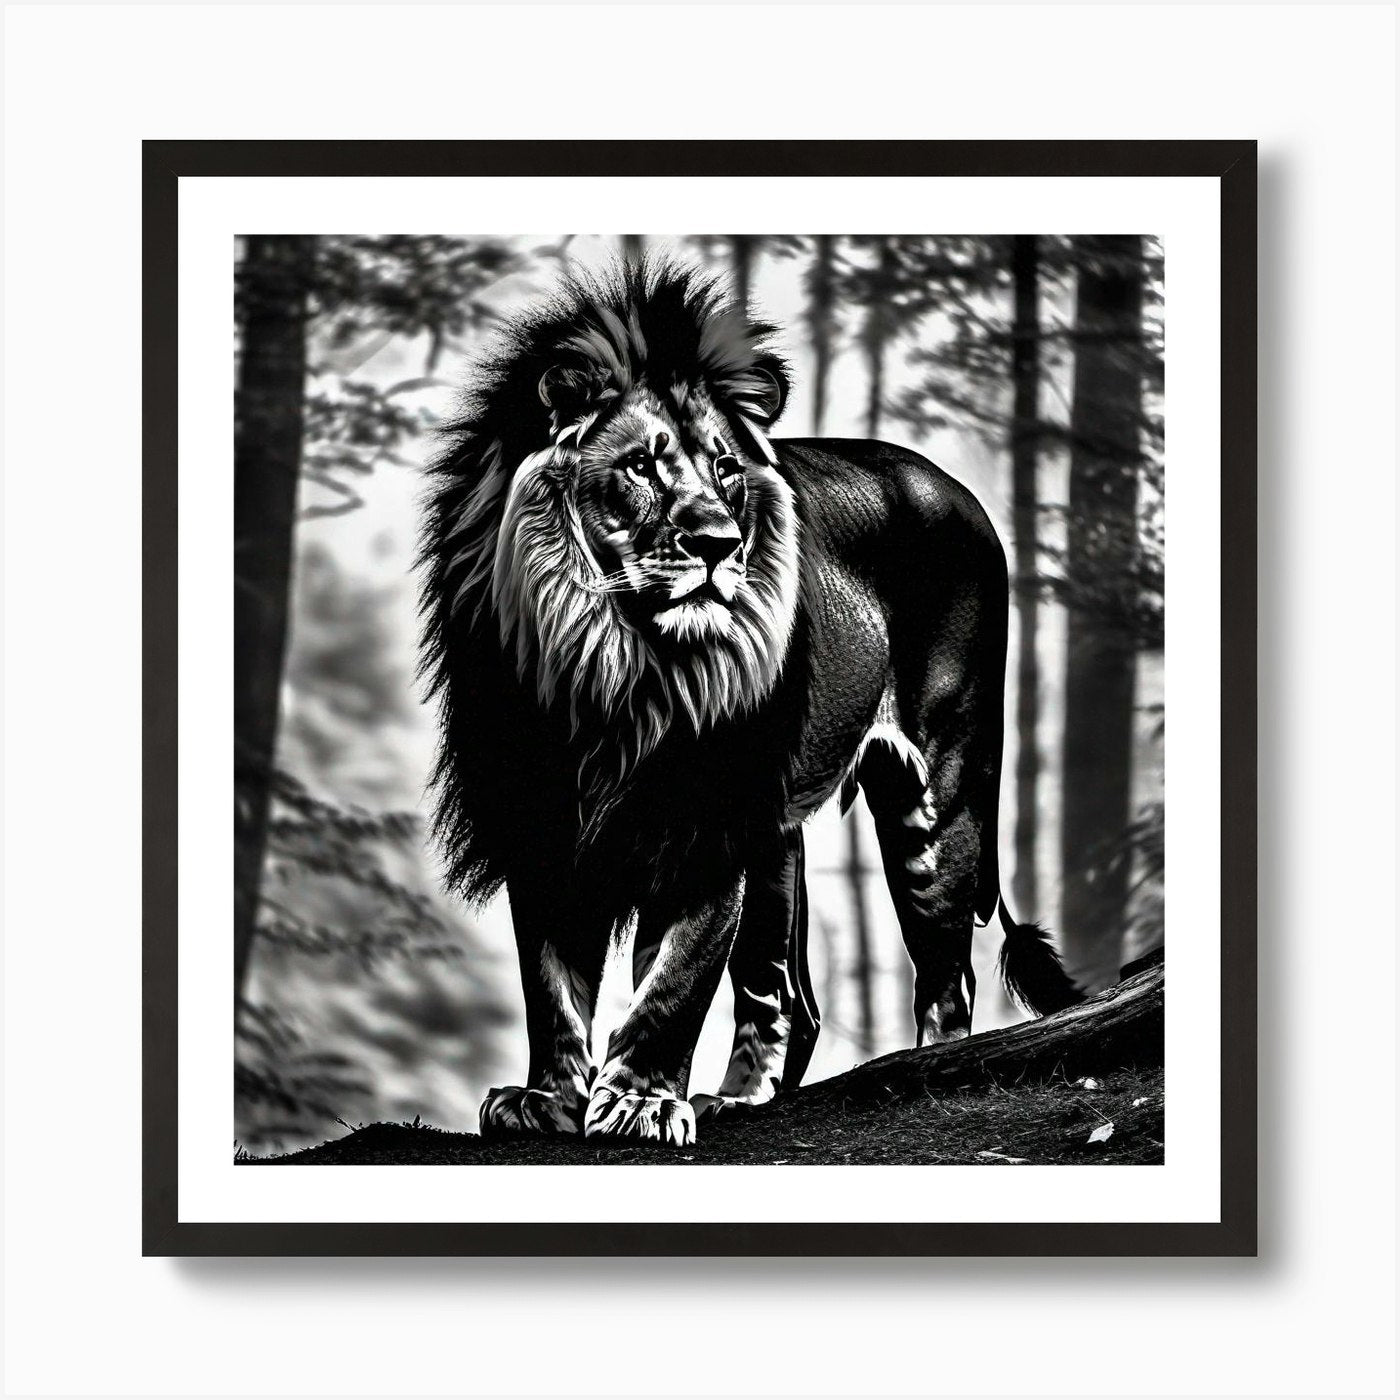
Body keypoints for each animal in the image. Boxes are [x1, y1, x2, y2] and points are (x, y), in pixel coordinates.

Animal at [420, 260, 1081, 1146]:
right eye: (642, 466)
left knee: (947, 975)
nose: (717, 544)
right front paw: (546, 1098)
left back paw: (925, 1072)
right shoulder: (542, 819)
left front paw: (639, 1101)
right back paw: (738, 1100)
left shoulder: (706, 822)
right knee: (789, 995)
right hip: (776, 839)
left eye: (726, 469)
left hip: (939, 793)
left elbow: (675, 982)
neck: (624, 665)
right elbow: (552, 985)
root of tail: (956, 490)